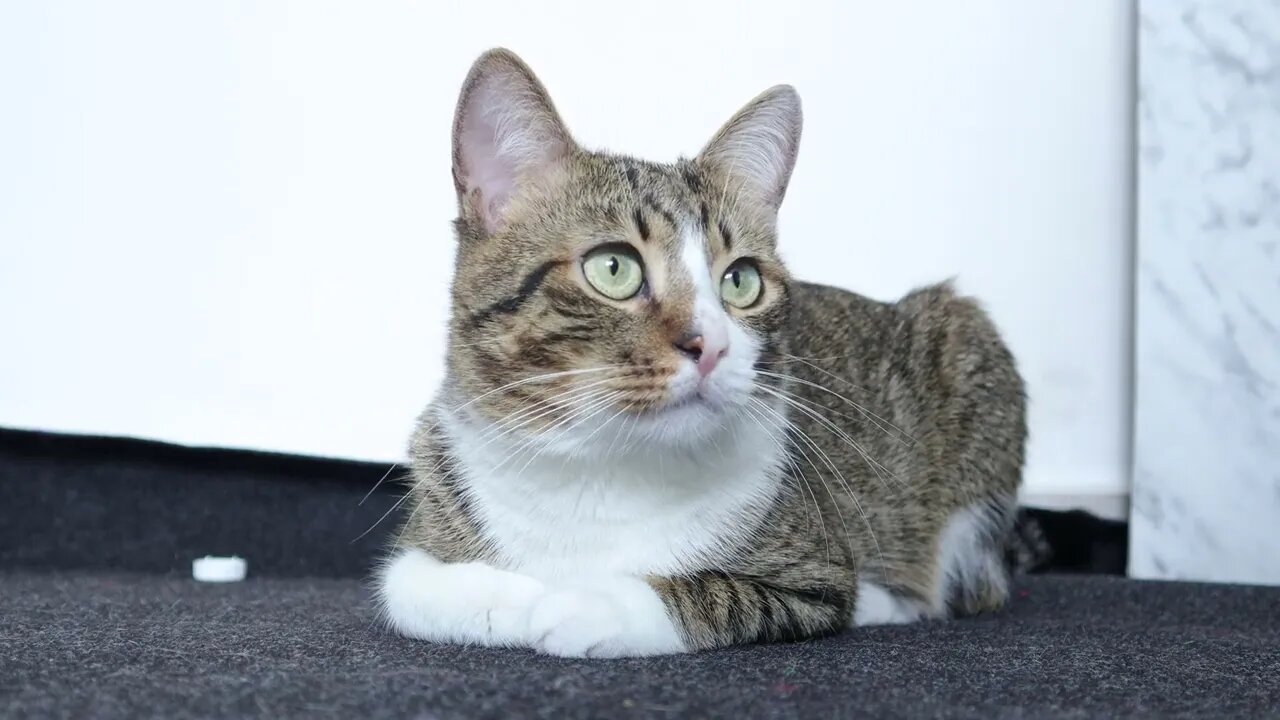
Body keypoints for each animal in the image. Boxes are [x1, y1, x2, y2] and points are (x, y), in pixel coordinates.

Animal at [373, 49, 1024, 655]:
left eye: (741, 281)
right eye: (613, 268)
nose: (711, 344)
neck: (599, 469)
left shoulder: (813, 571)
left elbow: (713, 592)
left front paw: (585, 604)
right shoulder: (426, 528)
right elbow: (408, 587)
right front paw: (517, 596)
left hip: (967, 342)